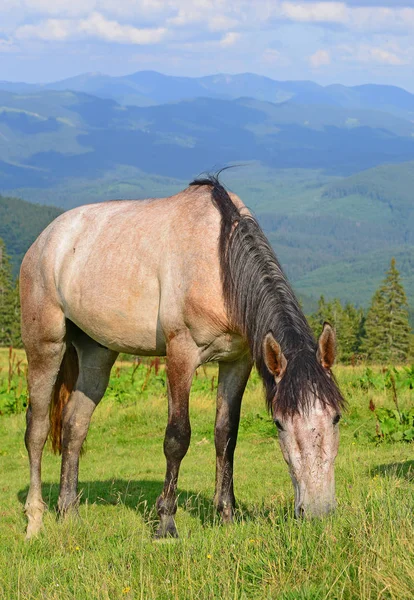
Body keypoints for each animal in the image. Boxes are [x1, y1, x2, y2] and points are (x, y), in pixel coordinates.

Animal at [19, 175, 344, 540]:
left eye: (335, 418)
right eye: (279, 422)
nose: (317, 512)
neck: (219, 264)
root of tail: (45, 240)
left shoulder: (238, 361)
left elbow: (226, 435)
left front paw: (226, 515)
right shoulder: (181, 355)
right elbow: (177, 437)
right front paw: (166, 523)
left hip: (97, 354)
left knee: (74, 425)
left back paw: (70, 514)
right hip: (44, 346)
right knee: (37, 428)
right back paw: (35, 520)